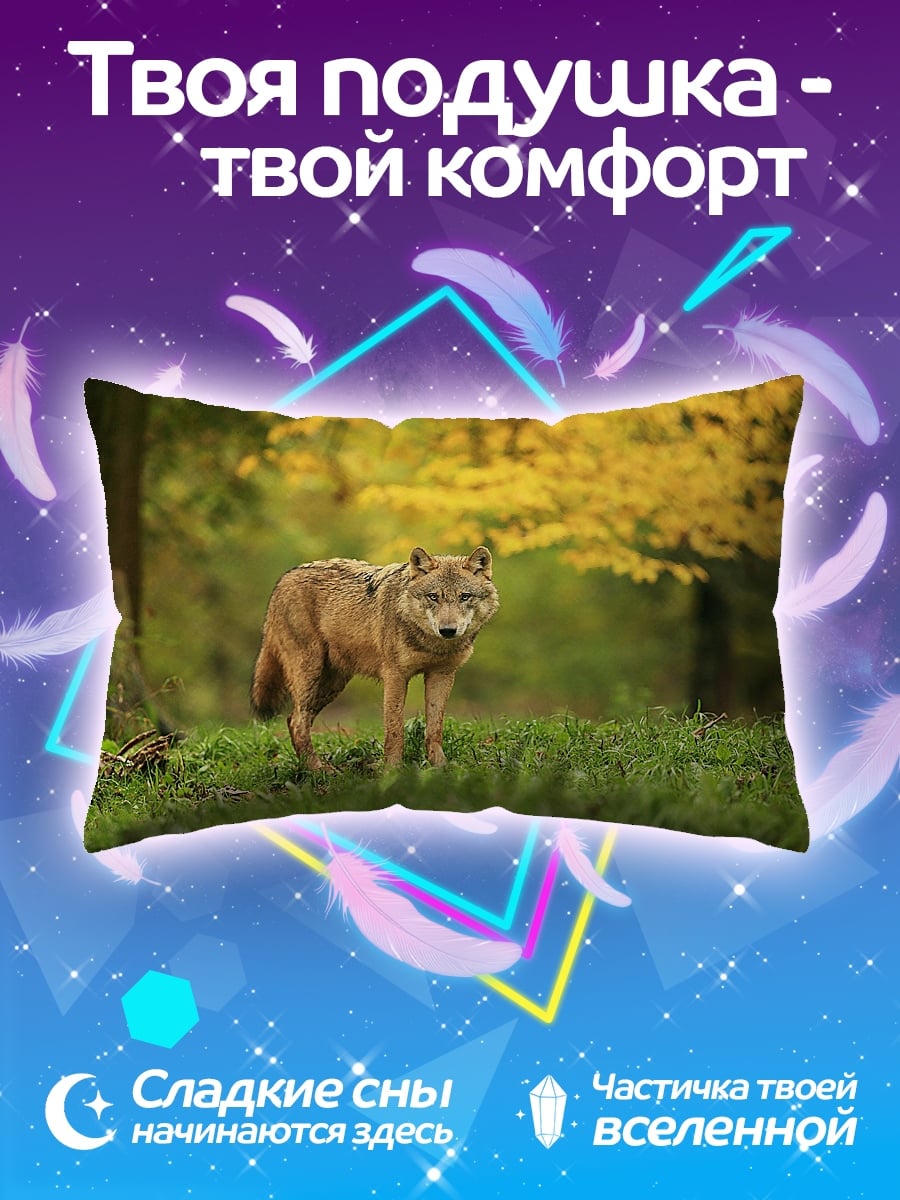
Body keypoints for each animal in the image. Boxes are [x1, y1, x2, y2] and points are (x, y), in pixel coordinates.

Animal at [250, 546, 499, 768]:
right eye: (433, 597)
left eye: (464, 597)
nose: (447, 630)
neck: (432, 644)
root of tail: (283, 579)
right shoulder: (395, 676)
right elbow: (395, 731)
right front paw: (392, 771)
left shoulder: (442, 675)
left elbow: (434, 729)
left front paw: (440, 769)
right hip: (310, 673)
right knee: (297, 721)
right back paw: (318, 770)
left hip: (331, 684)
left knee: (293, 719)